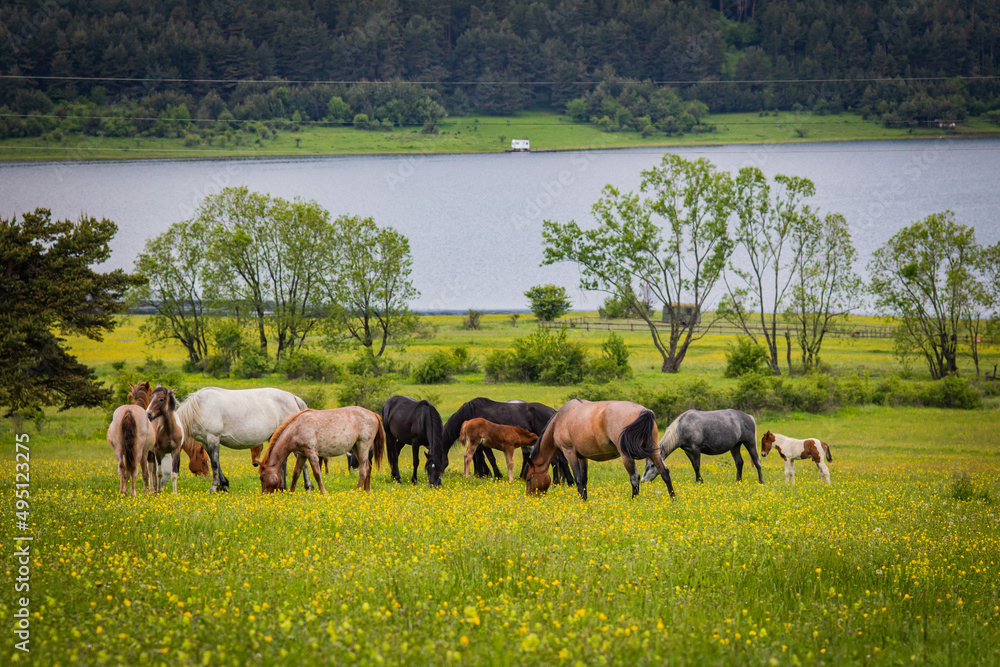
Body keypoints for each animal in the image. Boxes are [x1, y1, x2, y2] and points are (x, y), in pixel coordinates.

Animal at [175, 387, 308, 492]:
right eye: (203, 462)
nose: (205, 477)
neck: (199, 409)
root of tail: (292, 397)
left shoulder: (213, 438)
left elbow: (214, 463)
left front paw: (213, 488)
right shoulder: (206, 442)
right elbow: (216, 462)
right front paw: (223, 486)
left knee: (302, 461)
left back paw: (307, 487)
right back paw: (282, 488)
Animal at [438, 397, 573, 487]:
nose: (439, 476)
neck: (470, 412)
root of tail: (552, 411)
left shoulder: (483, 443)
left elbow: (489, 458)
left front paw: (495, 475)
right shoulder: (478, 444)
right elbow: (479, 458)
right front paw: (482, 474)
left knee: (556, 460)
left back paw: (557, 481)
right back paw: (567, 481)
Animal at [526, 399, 675, 501]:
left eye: (528, 479)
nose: (530, 498)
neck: (560, 419)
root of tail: (644, 411)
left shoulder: (570, 453)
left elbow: (578, 478)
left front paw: (580, 501)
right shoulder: (582, 456)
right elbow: (584, 479)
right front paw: (584, 500)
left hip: (626, 455)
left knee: (634, 477)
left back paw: (634, 501)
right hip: (654, 451)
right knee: (664, 471)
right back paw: (673, 499)